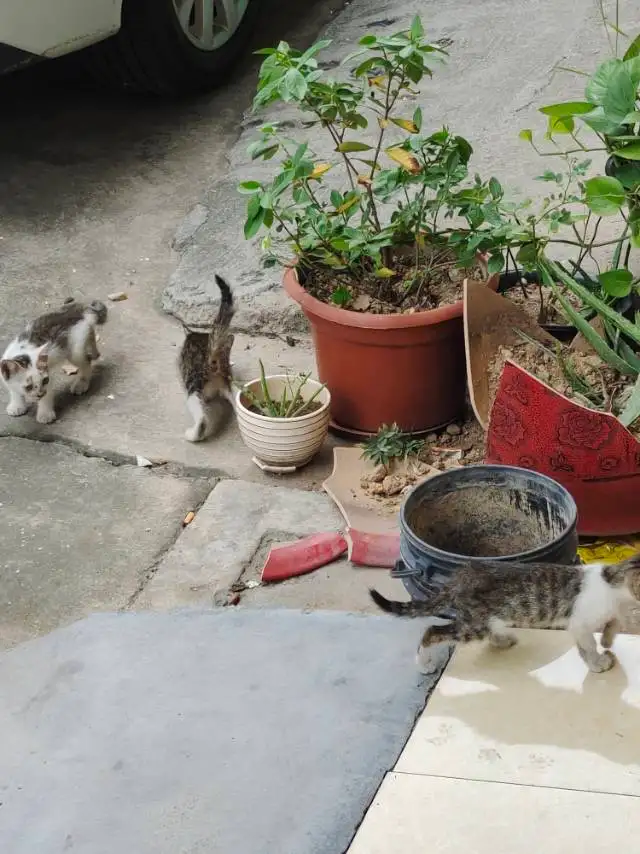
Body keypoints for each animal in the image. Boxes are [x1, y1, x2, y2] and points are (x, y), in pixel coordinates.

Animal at [368, 560, 640, 680]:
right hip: (472, 625)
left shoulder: (614, 610)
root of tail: (461, 575)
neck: (613, 579)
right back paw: (423, 663)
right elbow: (588, 645)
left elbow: (615, 622)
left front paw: (607, 639)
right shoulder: (579, 623)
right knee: (432, 631)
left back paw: (502, 639)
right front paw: (597, 662)